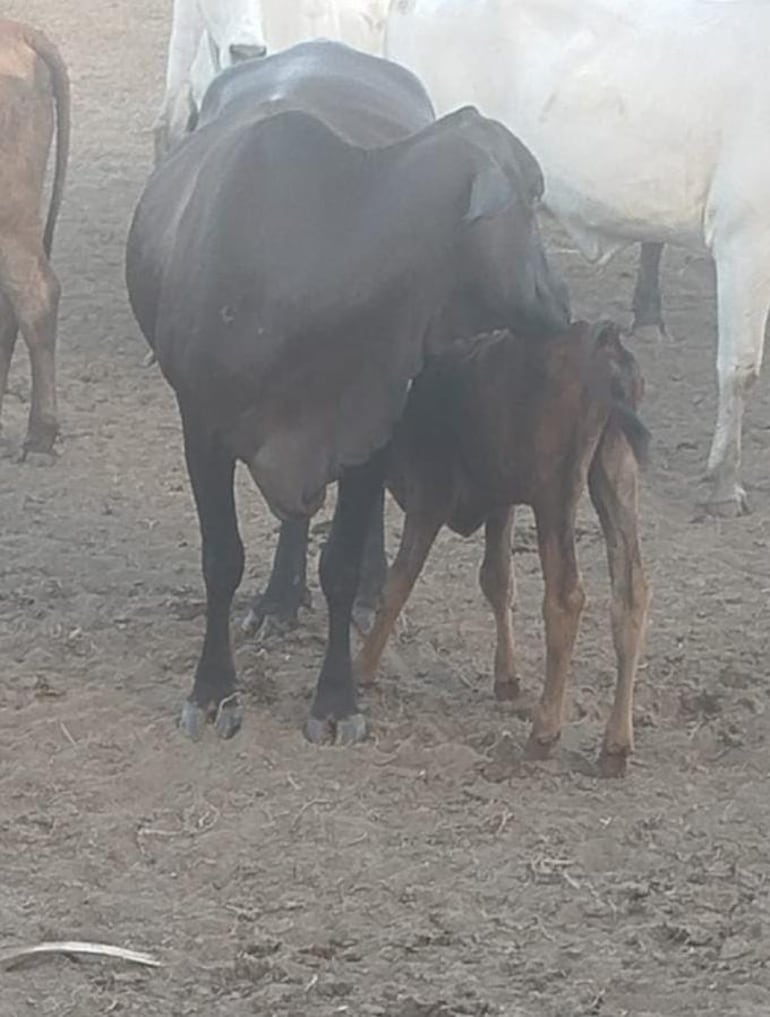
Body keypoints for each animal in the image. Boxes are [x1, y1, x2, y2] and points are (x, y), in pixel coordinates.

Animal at [126, 39, 569, 744]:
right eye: (532, 195)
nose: (562, 301)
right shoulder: (202, 426)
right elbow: (222, 559)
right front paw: (213, 689)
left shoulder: (369, 423)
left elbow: (338, 561)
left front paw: (335, 699)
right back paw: (278, 599)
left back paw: (365, 595)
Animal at [353, 321, 646, 772]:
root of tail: (600, 340)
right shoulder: (500, 503)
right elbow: (496, 579)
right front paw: (506, 677)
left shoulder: (429, 499)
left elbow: (398, 582)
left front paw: (363, 668)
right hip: (615, 475)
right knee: (630, 593)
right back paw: (615, 745)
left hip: (554, 495)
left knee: (565, 599)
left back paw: (544, 732)